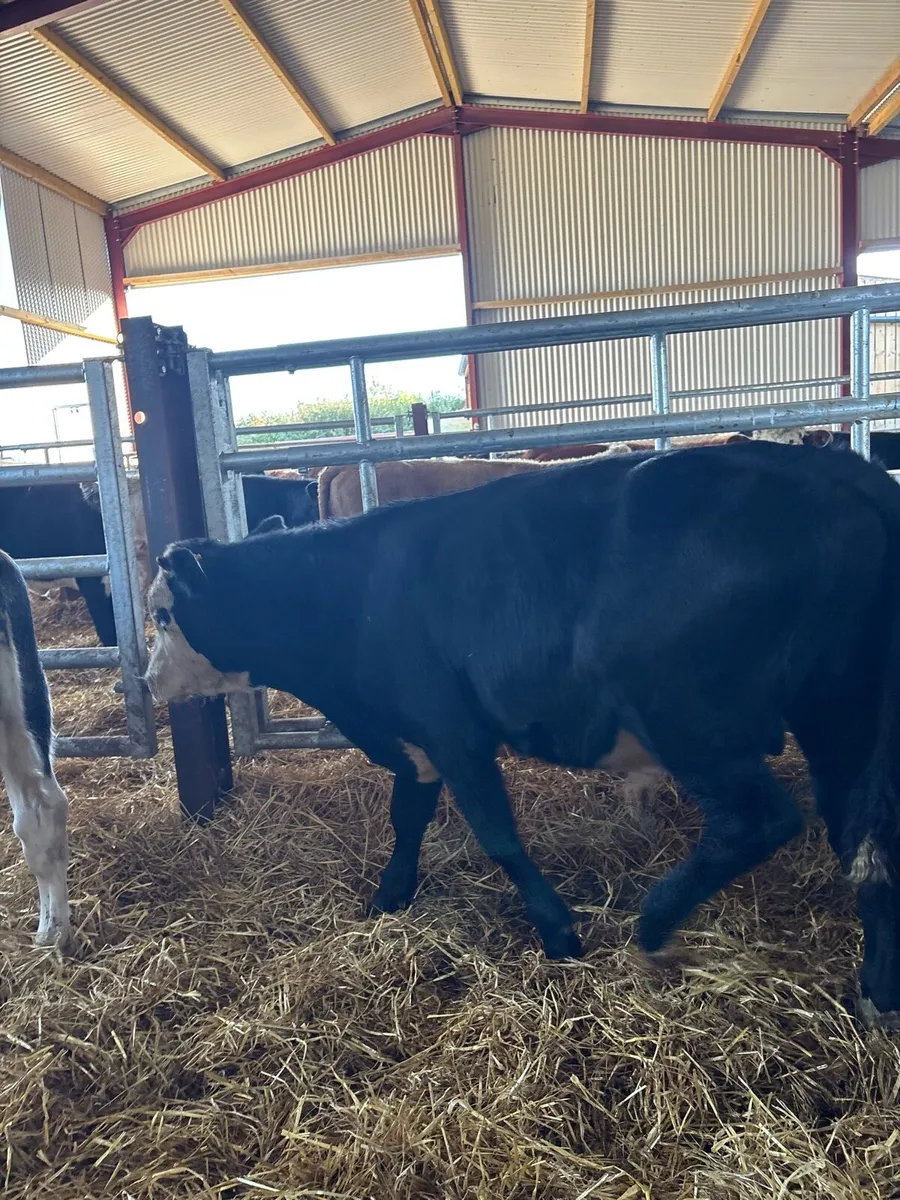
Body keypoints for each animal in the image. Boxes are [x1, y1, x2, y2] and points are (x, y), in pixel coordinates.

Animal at [144, 440, 900, 1029]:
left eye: (159, 614)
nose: (147, 682)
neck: (350, 598)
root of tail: (836, 472)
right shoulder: (417, 742)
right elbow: (406, 817)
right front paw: (389, 897)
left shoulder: (453, 734)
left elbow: (498, 835)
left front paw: (558, 930)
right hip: (841, 717)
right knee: (863, 839)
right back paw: (878, 989)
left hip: (693, 719)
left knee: (760, 820)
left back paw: (652, 925)